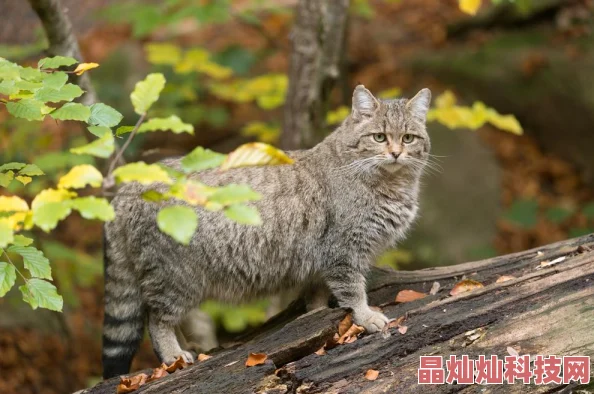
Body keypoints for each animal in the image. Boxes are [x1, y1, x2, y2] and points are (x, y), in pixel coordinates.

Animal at [102, 86, 430, 378]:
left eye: (408, 138)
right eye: (379, 137)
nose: (396, 153)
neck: (391, 184)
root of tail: (128, 187)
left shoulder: (323, 262)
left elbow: (317, 297)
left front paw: (317, 318)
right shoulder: (344, 252)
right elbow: (353, 291)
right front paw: (365, 317)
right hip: (176, 276)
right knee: (157, 319)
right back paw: (173, 355)